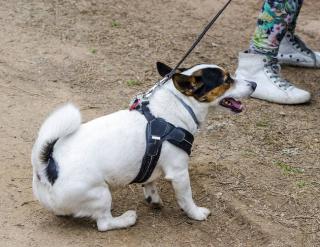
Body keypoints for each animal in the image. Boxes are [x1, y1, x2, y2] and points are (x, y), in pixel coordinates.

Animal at [31, 62, 256, 232]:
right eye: (227, 80)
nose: (254, 84)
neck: (178, 105)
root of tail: (46, 168)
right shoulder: (179, 172)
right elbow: (186, 198)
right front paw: (196, 213)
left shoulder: (151, 160)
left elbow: (150, 182)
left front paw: (153, 198)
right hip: (100, 193)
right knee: (104, 223)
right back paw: (126, 219)